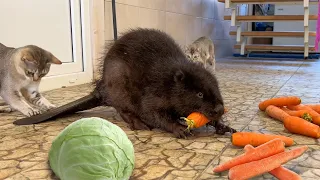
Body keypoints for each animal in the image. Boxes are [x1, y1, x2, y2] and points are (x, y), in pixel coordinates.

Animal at [13, 28, 236, 138]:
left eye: (216, 89)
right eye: (199, 94)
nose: (219, 108)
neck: (170, 79)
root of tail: (100, 89)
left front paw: (224, 127)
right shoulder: (155, 92)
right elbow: (153, 113)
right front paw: (179, 129)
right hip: (119, 85)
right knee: (123, 109)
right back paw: (139, 125)